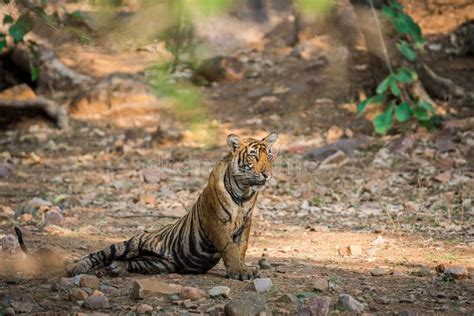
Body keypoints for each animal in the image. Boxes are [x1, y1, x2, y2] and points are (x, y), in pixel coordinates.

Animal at [65, 132, 276, 280]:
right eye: (254, 157)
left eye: (270, 156)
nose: (267, 175)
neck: (244, 192)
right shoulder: (215, 220)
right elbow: (229, 247)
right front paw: (237, 271)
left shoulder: (245, 223)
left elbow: (241, 248)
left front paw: (243, 268)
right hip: (130, 244)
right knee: (100, 254)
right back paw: (76, 267)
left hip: (157, 264)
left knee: (130, 262)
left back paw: (117, 267)